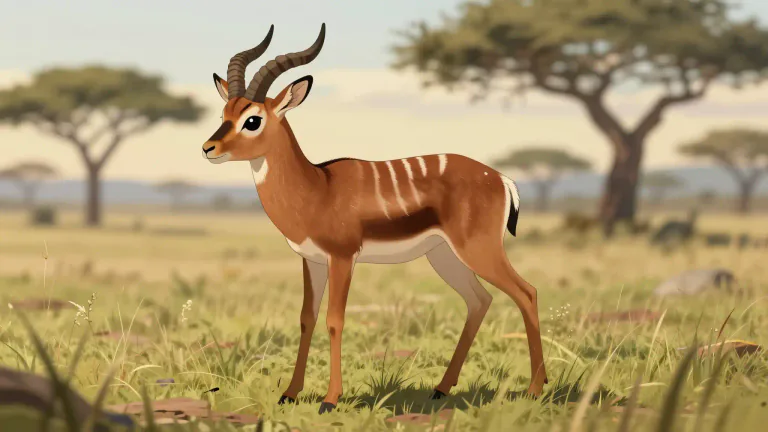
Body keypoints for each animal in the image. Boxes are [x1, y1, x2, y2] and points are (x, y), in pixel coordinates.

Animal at [202, 24, 548, 414]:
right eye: (224, 115)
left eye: (253, 120)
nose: (208, 148)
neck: (317, 187)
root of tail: (502, 179)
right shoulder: (312, 260)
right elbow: (307, 318)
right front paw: (289, 393)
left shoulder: (342, 257)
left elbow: (334, 320)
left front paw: (330, 400)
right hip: (444, 256)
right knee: (480, 300)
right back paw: (441, 389)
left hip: (478, 250)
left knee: (527, 292)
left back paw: (535, 389)